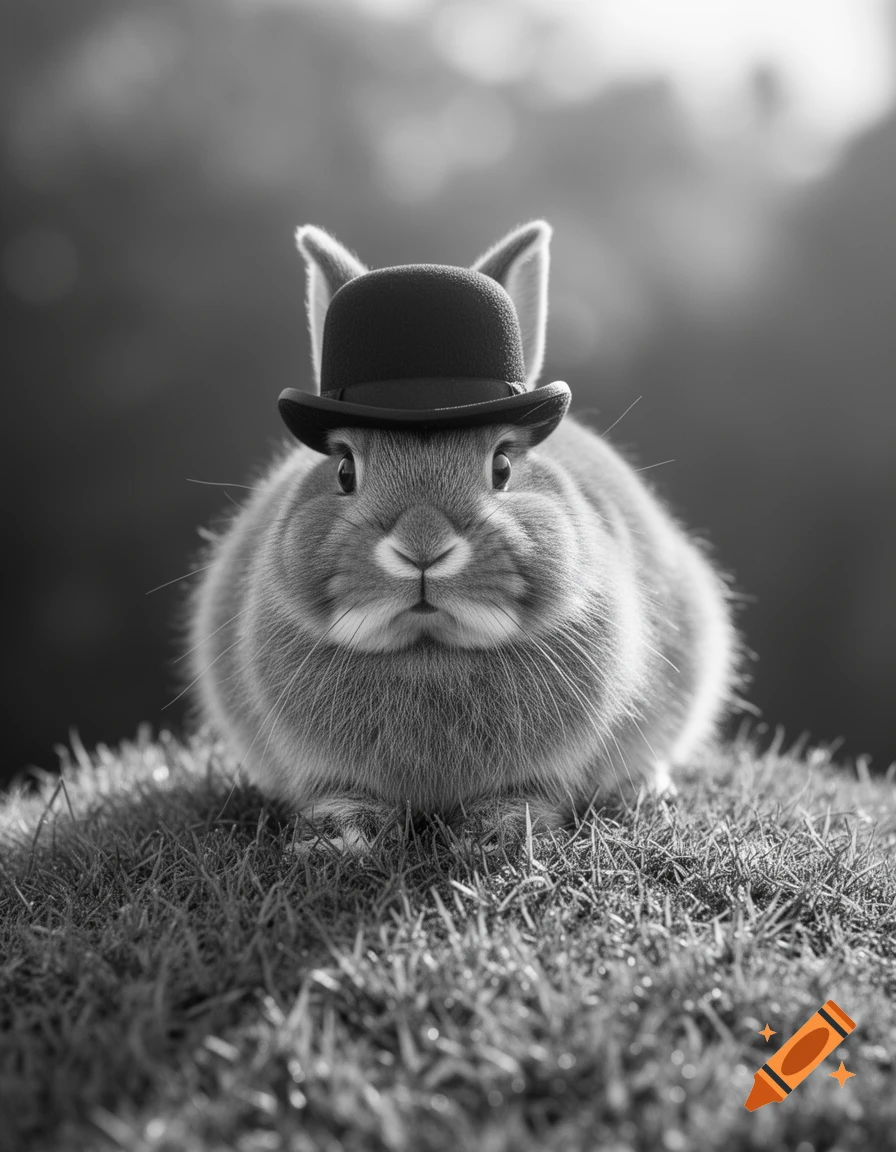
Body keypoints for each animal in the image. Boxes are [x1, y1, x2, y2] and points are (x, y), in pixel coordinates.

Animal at [183, 220, 741, 850]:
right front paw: (339, 836)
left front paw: (497, 833)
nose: (422, 547)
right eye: (345, 469)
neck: (430, 649)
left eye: (502, 466)